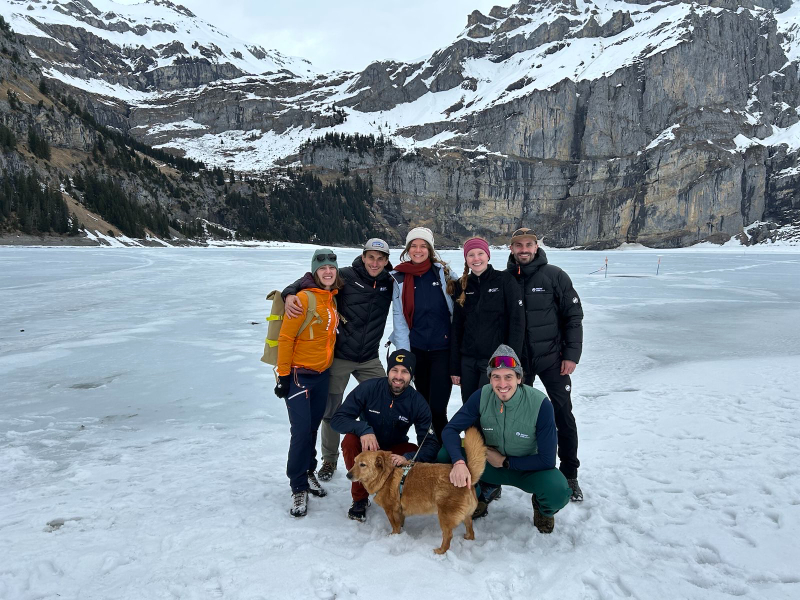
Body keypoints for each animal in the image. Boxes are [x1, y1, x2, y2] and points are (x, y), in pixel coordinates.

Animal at [346, 426, 484, 552]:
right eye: (354, 461)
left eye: (363, 465)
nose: (348, 475)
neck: (387, 475)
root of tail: (467, 476)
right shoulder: (400, 511)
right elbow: (400, 524)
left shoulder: (391, 510)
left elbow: (394, 526)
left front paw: (393, 536)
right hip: (466, 516)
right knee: (470, 529)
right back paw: (467, 538)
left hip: (445, 516)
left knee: (448, 536)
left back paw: (440, 551)